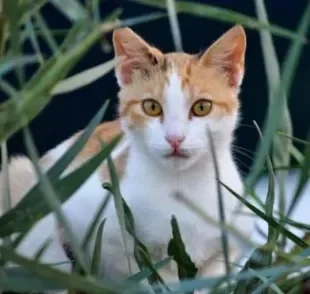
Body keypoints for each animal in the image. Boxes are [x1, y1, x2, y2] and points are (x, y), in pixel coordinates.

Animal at [1, 24, 256, 292]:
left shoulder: (235, 238)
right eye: (151, 107)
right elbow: (136, 274)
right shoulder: (89, 225)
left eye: (202, 107)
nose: (175, 138)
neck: (181, 186)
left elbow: (215, 277)